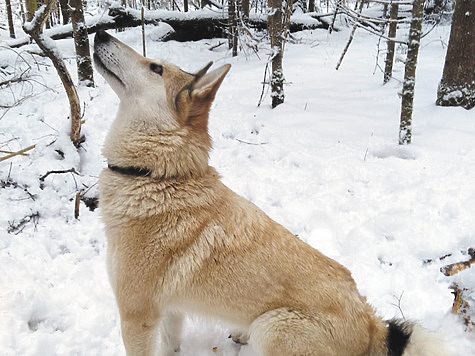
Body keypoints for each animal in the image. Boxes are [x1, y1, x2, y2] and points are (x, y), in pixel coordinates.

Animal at [93, 31, 450, 356]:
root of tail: (372, 327)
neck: (155, 176)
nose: (100, 34)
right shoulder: (169, 312)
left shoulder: (137, 317)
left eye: (156, 68)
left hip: (272, 325)